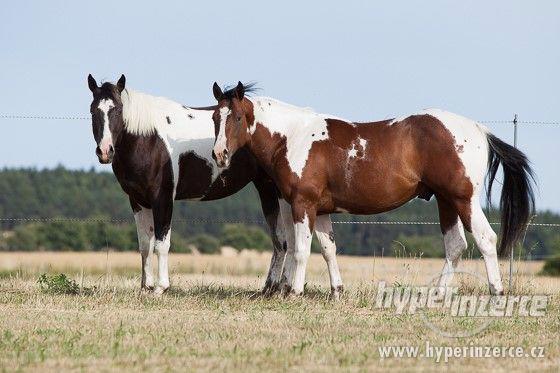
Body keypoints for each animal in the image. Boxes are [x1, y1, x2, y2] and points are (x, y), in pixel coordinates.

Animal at [86, 75, 344, 294]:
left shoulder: (163, 199)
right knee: (281, 241)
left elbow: (161, 244)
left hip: (279, 195)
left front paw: (161, 288)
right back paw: (271, 289)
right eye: (92, 110)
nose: (105, 151)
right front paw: (145, 287)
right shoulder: (138, 201)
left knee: (287, 241)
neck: (150, 139)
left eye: (118, 109)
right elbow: (144, 245)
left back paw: (283, 288)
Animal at [210, 82, 532, 296]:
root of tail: (479, 130)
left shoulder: (304, 203)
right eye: (215, 117)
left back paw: (496, 292)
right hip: (445, 201)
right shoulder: (320, 209)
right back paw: (438, 296)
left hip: (463, 199)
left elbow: (301, 249)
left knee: (486, 239)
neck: (293, 137)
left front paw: (295, 292)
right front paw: (336, 291)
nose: (219, 154)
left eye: (237, 117)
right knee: (455, 246)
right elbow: (328, 249)